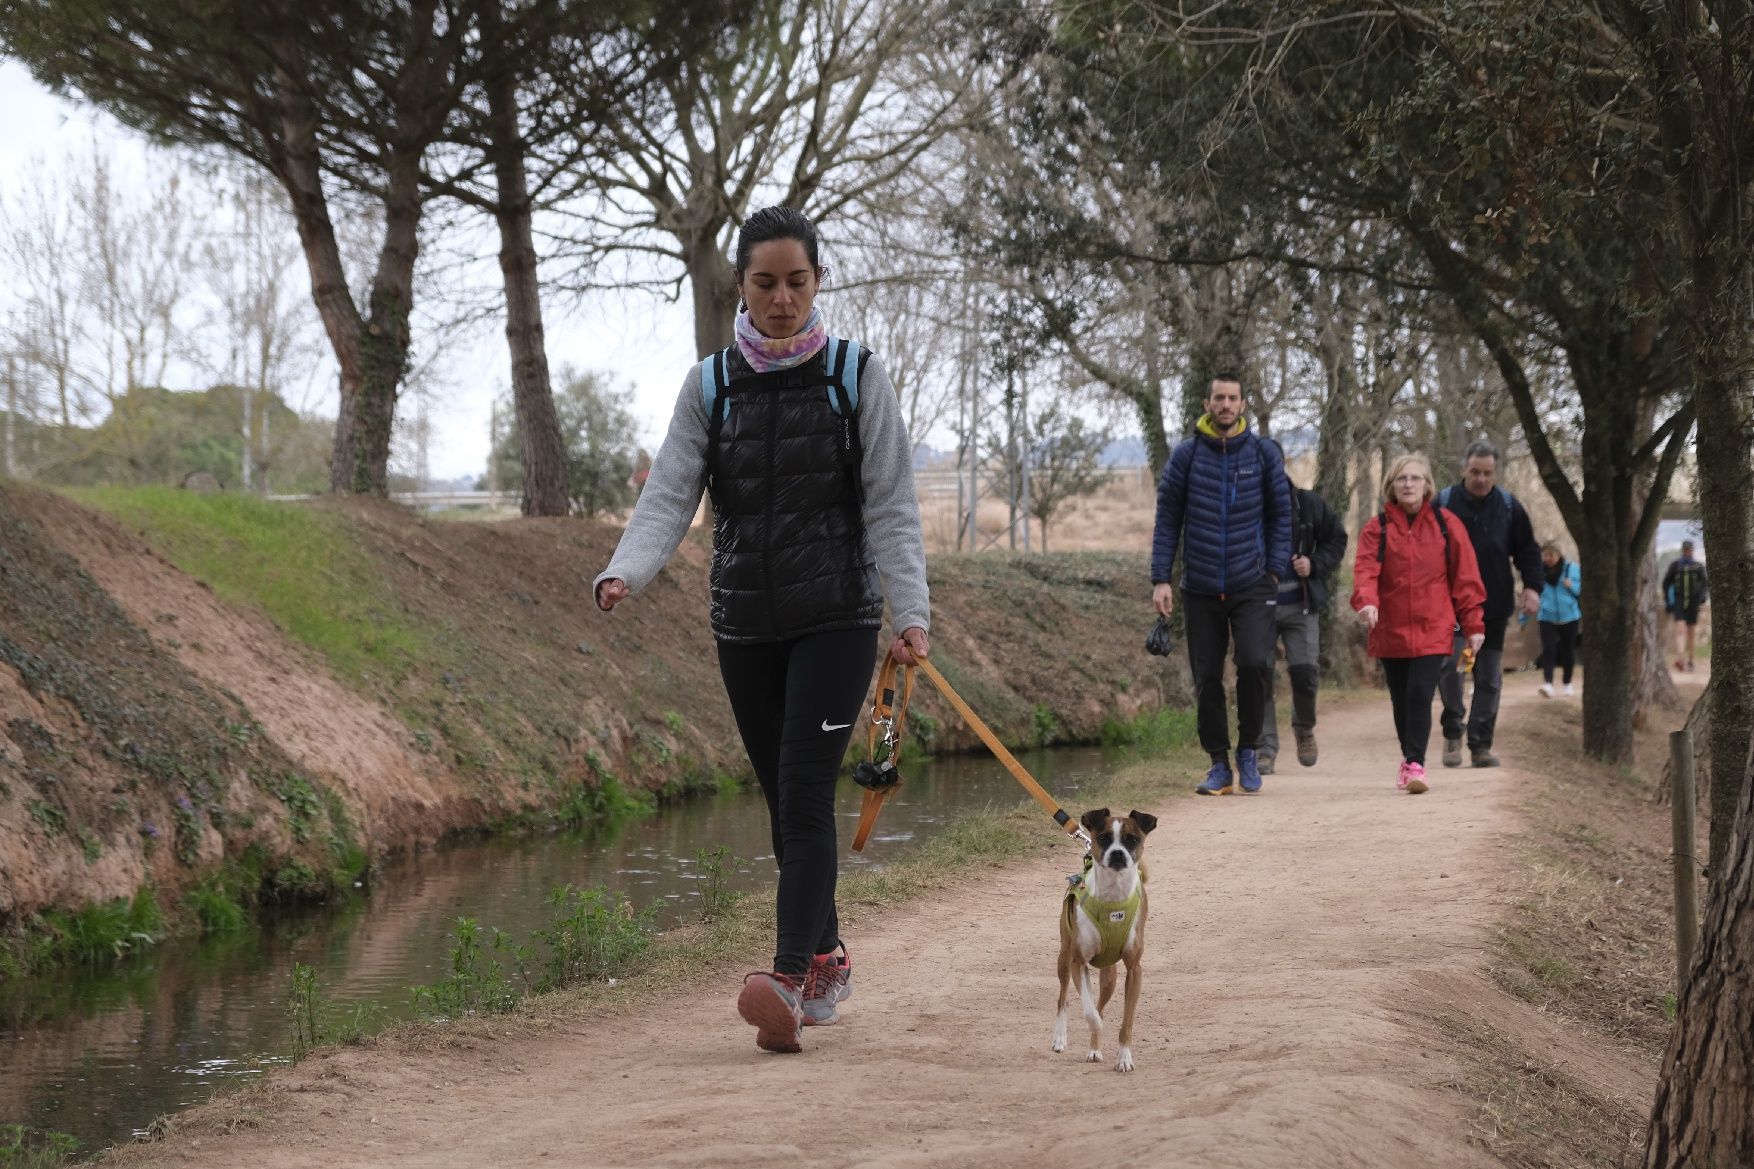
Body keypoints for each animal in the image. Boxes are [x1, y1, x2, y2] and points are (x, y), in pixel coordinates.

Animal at [1045, 807, 1157, 1067]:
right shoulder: (1078, 962)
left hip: (1110, 976)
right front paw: (1095, 1024)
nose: (1117, 853)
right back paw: (1060, 1038)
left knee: (1101, 1001)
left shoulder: (1134, 969)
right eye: (1104, 838)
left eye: (1132, 839)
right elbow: (1089, 1011)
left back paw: (1094, 1049)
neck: (1113, 897)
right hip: (1064, 958)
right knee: (1063, 999)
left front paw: (1124, 1057)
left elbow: (1126, 1020)